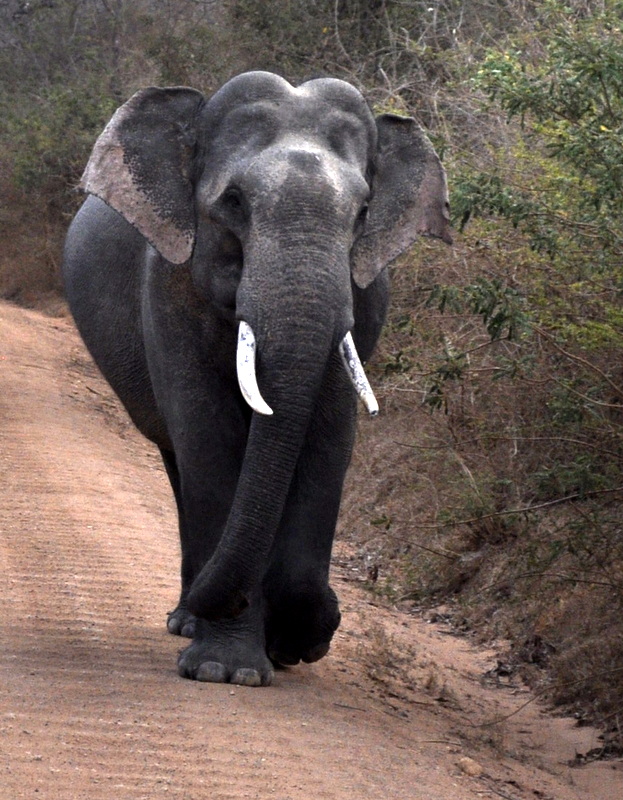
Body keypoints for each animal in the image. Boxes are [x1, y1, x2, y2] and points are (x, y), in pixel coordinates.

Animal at [63, 70, 450, 688]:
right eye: (234, 202)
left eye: (364, 212)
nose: (330, 617)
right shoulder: (170, 289)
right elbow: (209, 435)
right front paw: (227, 670)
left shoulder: (362, 299)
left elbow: (328, 437)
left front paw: (297, 641)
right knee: (180, 461)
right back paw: (189, 621)